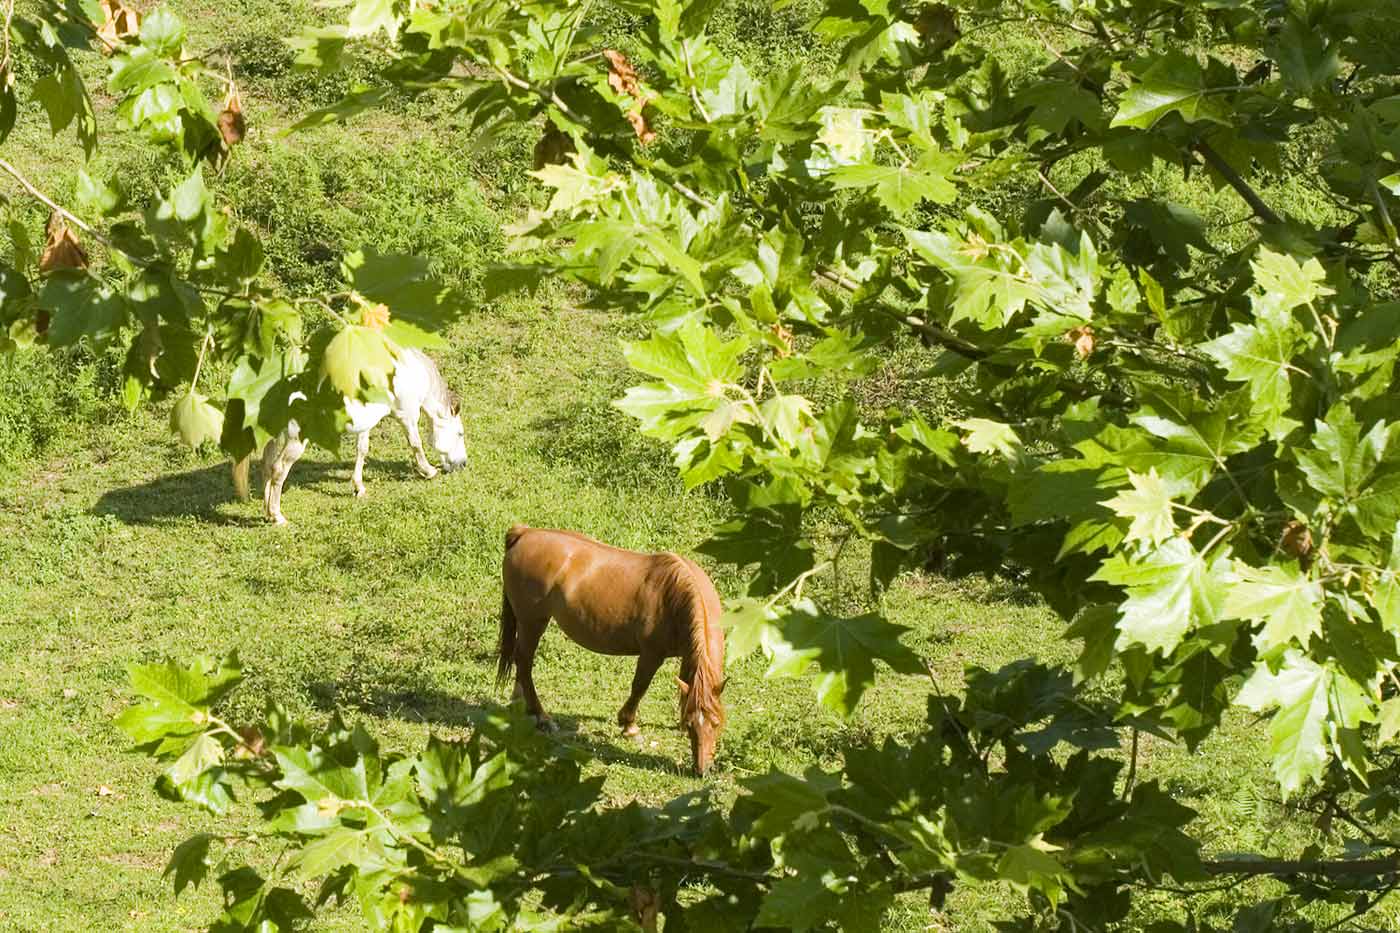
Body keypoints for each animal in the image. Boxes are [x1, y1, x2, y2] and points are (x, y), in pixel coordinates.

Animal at [231, 347, 467, 524]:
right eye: (460, 433)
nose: (462, 464)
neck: (410, 372)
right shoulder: (407, 416)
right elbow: (416, 444)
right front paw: (428, 471)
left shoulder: (366, 422)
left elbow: (362, 450)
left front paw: (358, 487)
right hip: (295, 440)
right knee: (279, 469)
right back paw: (277, 516)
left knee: (267, 465)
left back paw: (267, 512)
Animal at [497, 524, 727, 775]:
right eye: (692, 725)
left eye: (716, 723)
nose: (702, 770)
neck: (674, 595)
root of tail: (525, 532)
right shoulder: (651, 654)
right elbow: (639, 687)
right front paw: (629, 726)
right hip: (533, 622)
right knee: (524, 662)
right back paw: (542, 717)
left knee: (521, 663)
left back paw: (520, 705)